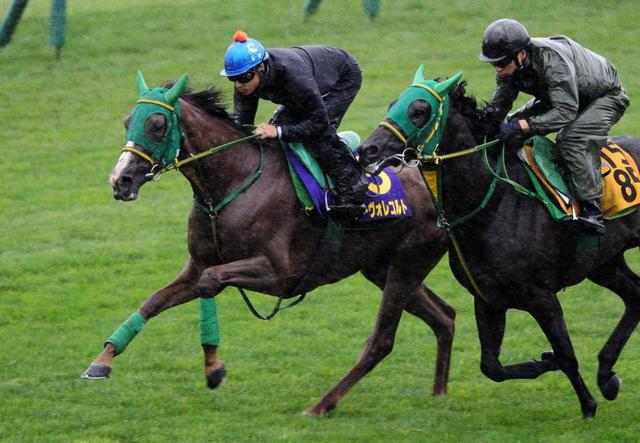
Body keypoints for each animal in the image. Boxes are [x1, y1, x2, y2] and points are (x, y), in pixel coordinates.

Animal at [84, 73, 456, 416]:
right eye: (127, 121)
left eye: (157, 125)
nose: (120, 181)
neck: (234, 182)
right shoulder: (198, 263)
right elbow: (153, 301)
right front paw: (101, 360)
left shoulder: (280, 275)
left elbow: (208, 283)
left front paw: (213, 368)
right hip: (382, 267)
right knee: (445, 316)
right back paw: (439, 394)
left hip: (409, 261)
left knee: (383, 340)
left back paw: (322, 405)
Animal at [358, 64, 640, 418]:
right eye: (392, 104)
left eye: (419, 111)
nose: (367, 150)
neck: (494, 202)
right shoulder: (488, 298)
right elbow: (491, 366)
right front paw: (545, 363)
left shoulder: (542, 297)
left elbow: (567, 356)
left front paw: (587, 405)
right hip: (604, 263)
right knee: (635, 296)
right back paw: (606, 374)